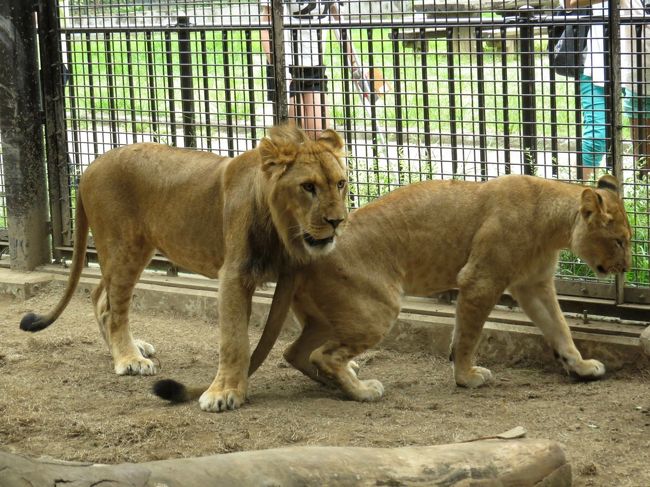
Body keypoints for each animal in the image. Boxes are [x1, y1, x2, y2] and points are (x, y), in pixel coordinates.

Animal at [20, 123, 346, 412]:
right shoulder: (234, 274)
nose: (338, 221)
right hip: (124, 248)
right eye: (308, 187)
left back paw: (126, 349)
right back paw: (128, 359)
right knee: (114, 308)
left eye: (341, 183)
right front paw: (223, 392)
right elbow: (234, 340)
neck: (284, 228)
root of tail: (92, 165)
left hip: (130, 252)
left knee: (101, 296)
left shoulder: (293, 273)